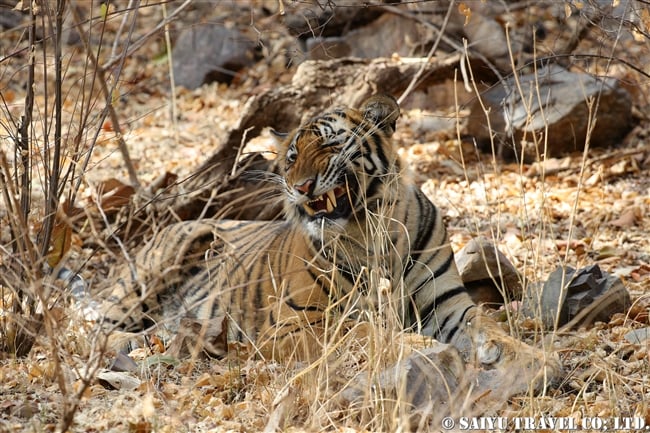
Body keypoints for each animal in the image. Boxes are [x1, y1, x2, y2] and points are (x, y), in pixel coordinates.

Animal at [101, 92, 556, 384]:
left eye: (329, 145)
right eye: (290, 157)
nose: (299, 187)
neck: (372, 232)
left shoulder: (447, 305)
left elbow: (490, 327)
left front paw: (540, 361)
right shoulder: (295, 323)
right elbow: (364, 334)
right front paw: (411, 344)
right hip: (169, 255)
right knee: (101, 329)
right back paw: (144, 342)